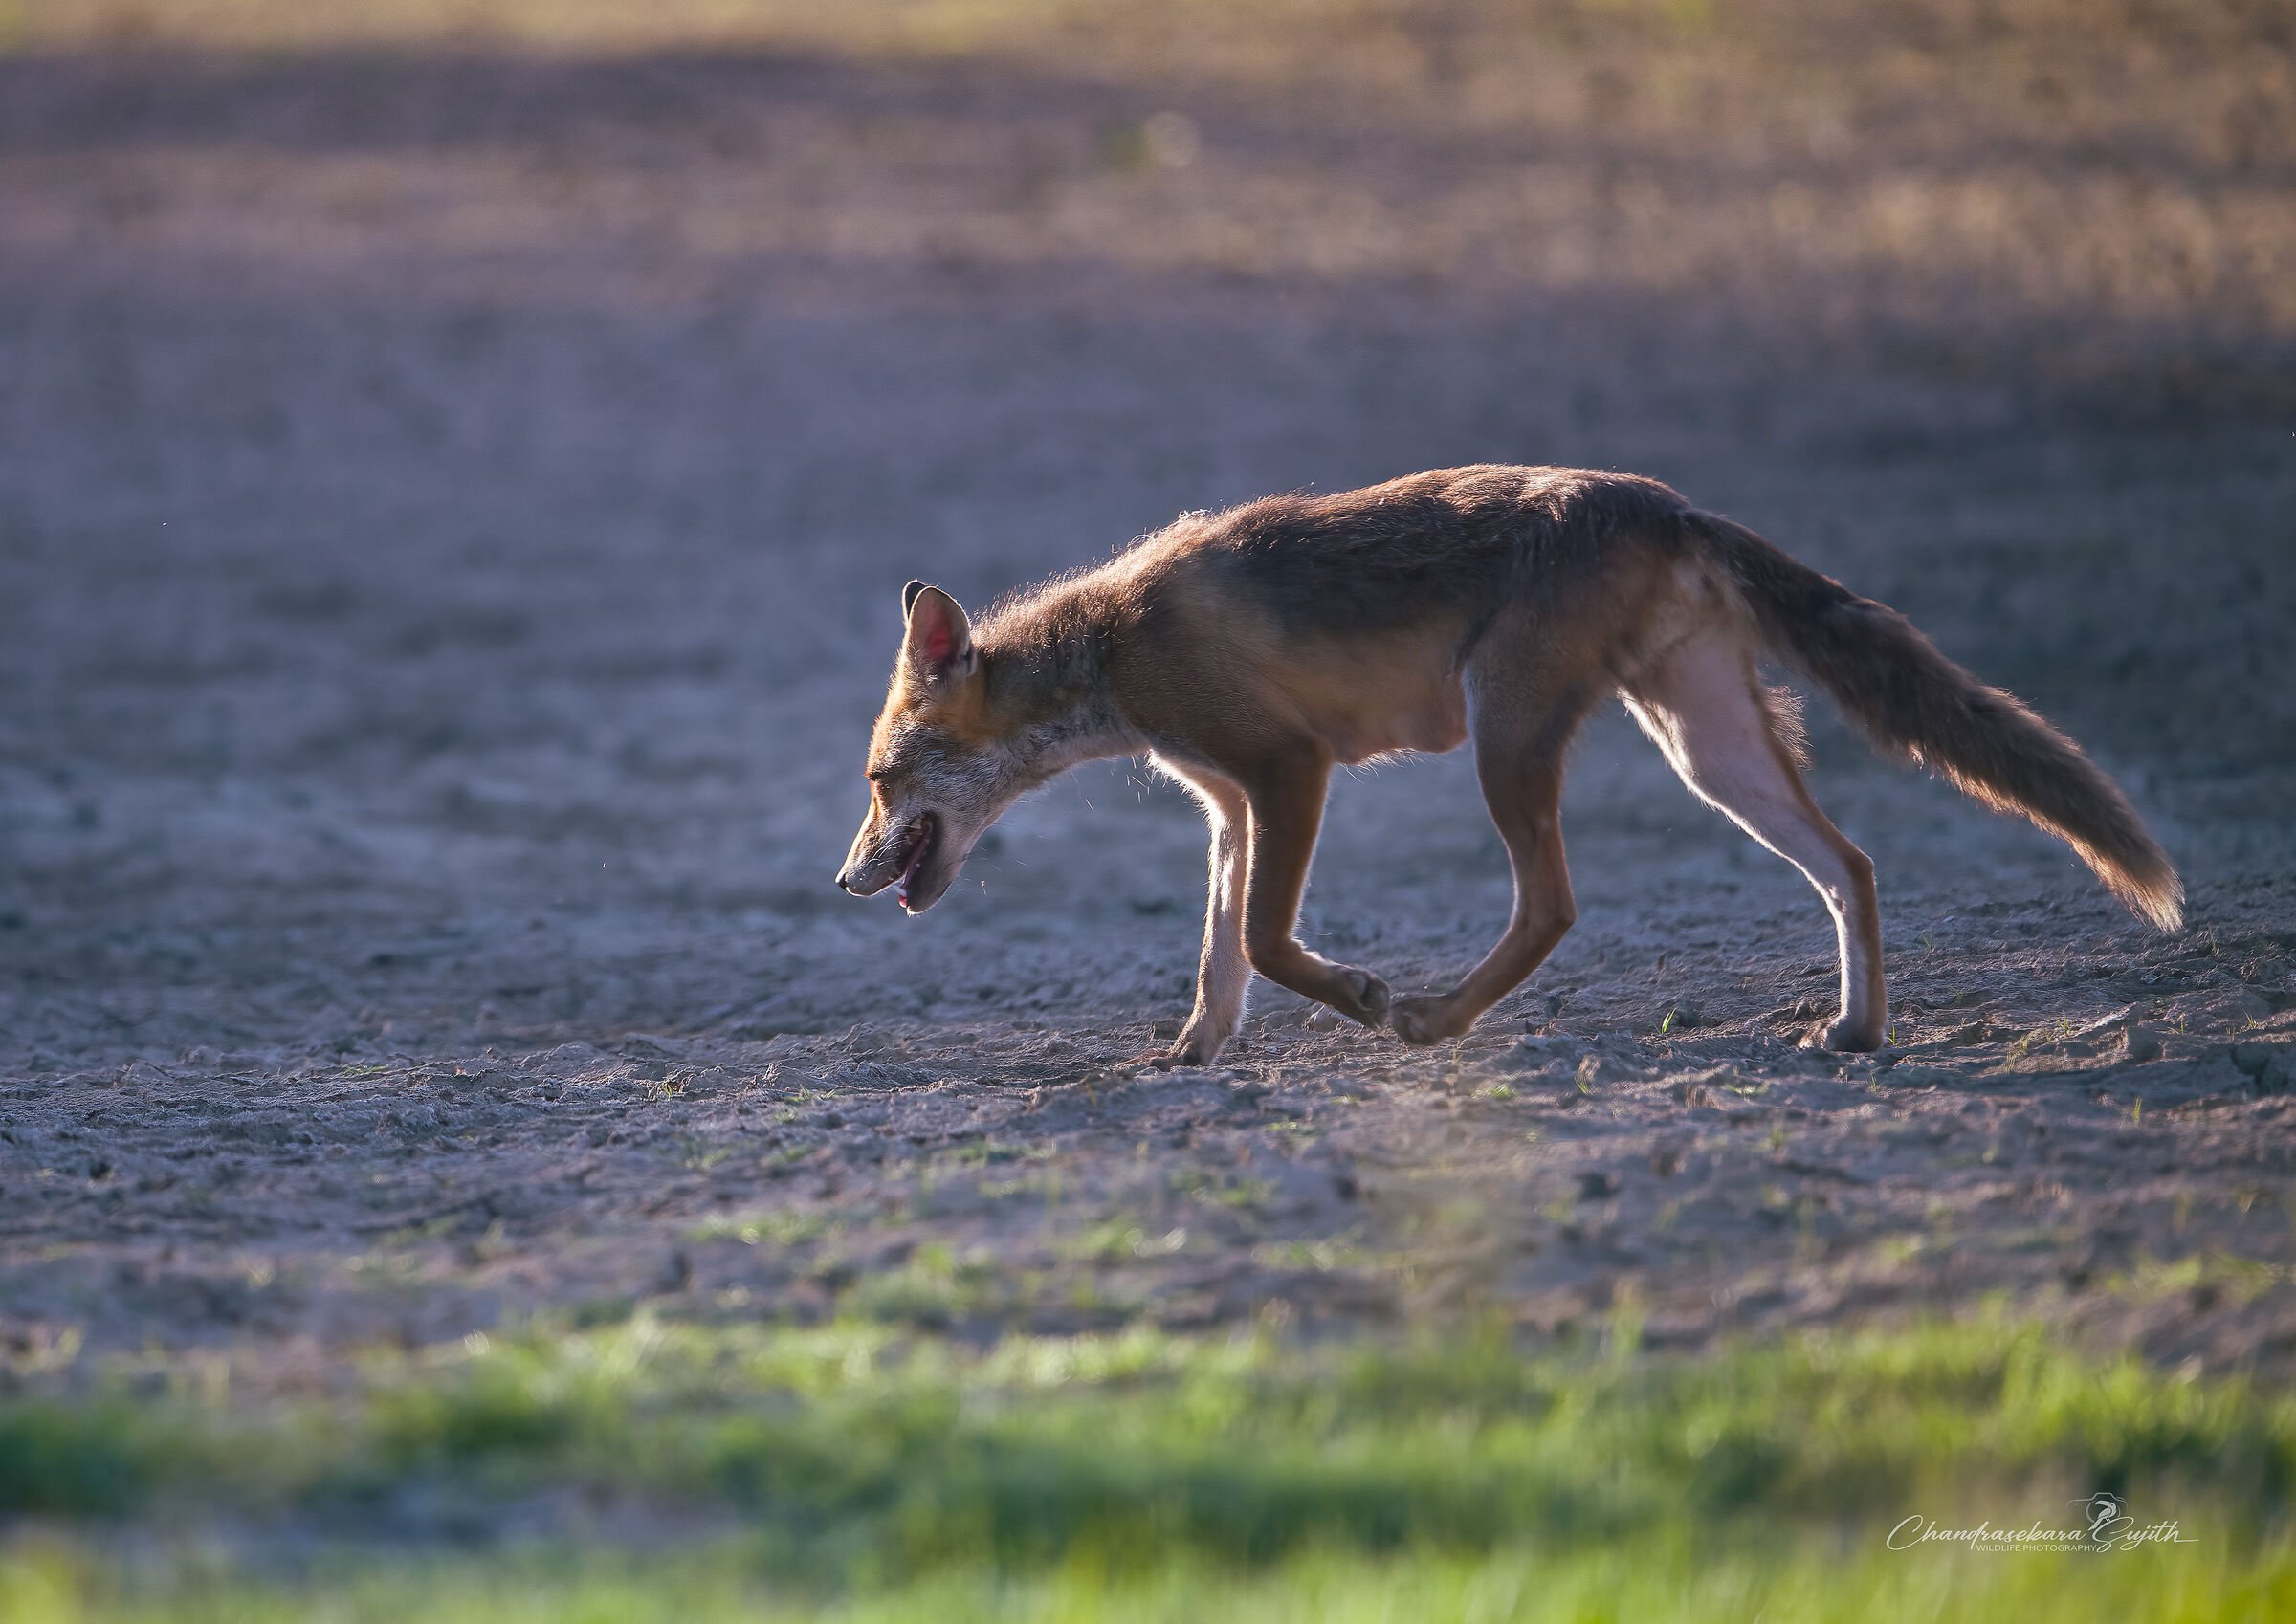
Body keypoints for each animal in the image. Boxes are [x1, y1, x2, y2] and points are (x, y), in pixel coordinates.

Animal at [836, 465, 2180, 1066]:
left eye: (882, 781)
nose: (844, 883)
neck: (1115, 644)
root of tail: (1663, 498)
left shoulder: (1288, 767)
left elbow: (1267, 943)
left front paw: (1361, 998)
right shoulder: (1228, 806)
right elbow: (1220, 957)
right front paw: (1193, 1057)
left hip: (1509, 736)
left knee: (1555, 904)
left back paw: (1435, 1018)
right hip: (1706, 753)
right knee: (1850, 864)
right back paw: (1858, 1030)